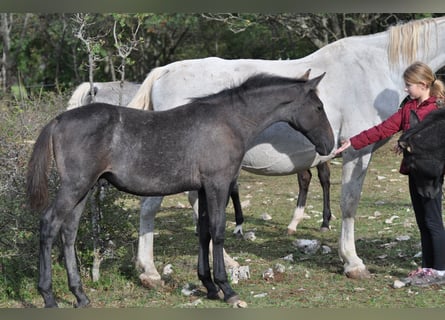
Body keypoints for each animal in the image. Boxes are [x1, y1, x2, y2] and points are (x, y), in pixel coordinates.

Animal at [26, 72, 332, 308]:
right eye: (318, 107)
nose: (329, 144)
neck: (229, 121)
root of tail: (59, 120)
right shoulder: (218, 184)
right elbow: (218, 231)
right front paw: (227, 290)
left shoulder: (203, 189)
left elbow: (204, 232)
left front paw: (209, 286)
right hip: (75, 187)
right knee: (49, 224)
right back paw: (48, 296)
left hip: (83, 190)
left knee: (68, 232)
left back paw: (80, 296)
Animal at [124, 16, 444, 284]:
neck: (374, 66)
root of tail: (163, 71)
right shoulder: (357, 154)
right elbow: (349, 204)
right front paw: (353, 262)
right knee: (150, 207)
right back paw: (150, 271)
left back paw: (227, 260)